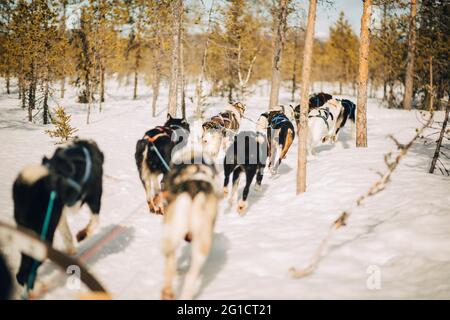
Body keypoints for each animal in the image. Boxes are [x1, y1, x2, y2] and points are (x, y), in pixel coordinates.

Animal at [12, 139, 104, 288]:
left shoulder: (60, 213)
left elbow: (67, 234)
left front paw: (71, 249)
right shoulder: (94, 197)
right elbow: (94, 222)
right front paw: (82, 235)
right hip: (44, 234)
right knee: (25, 269)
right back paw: (38, 286)